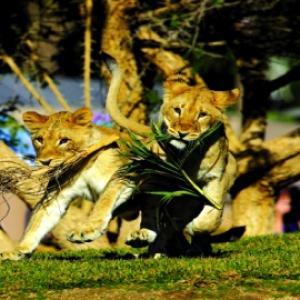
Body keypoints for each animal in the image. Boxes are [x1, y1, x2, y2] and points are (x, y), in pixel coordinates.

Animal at [0, 108, 134, 260]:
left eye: (64, 141)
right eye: (39, 140)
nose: (45, 162)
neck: (82, 165)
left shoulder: (126, 173)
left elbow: (105, 198)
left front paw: (88, 230)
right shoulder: (56, 195)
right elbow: (38, 221)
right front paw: (18, 250)